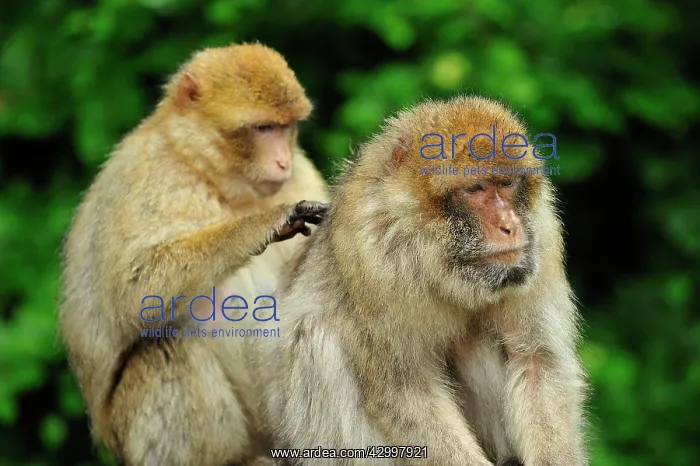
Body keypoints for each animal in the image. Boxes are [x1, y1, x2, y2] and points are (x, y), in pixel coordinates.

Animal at [58, 43, 329, 466]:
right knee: (166, 347)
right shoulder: (147, 175)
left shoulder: (302, 174)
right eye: (263, 128)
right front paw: (262, 224)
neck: (217, 180)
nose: (283, 160)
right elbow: (134, 290)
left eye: (286, 127)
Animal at [240, 96, 588, 465]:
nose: (509, 226)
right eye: (476, 188)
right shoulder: (372, 257)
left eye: (507, 184)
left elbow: (537, 361)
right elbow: (404, 390)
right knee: (317, 337)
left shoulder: (542, 236)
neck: (432, 247)